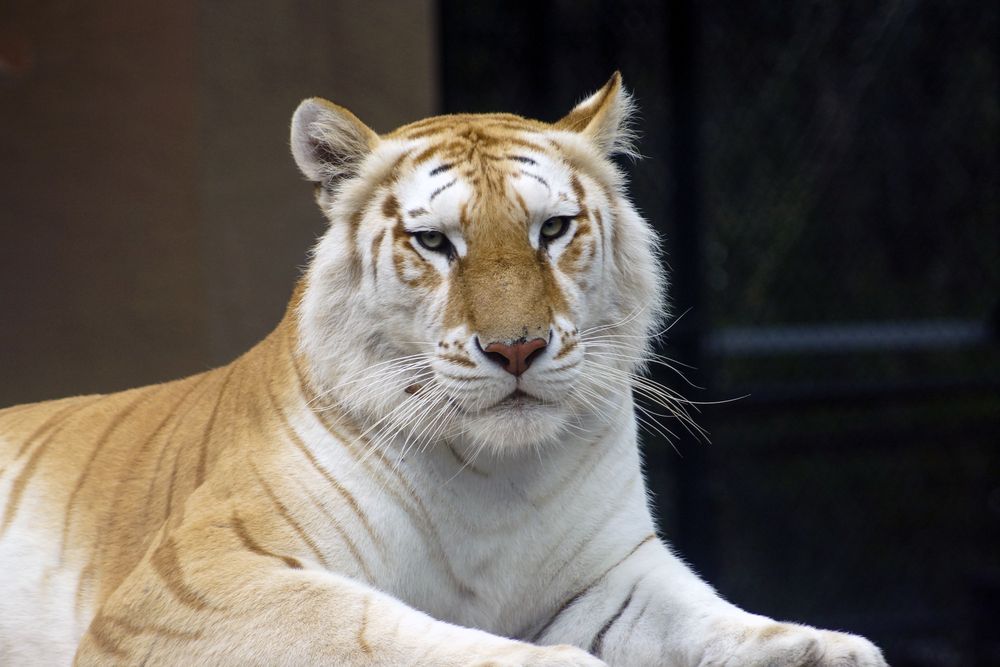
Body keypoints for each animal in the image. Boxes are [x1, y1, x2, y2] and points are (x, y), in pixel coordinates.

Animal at [0, 73, 887, 666]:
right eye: (434, 242)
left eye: (552, 229)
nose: (516, 347)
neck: (493, 471)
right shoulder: (200, 580)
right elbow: (379, 628)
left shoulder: (609, 576)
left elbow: (719, 620)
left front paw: (830, 647)